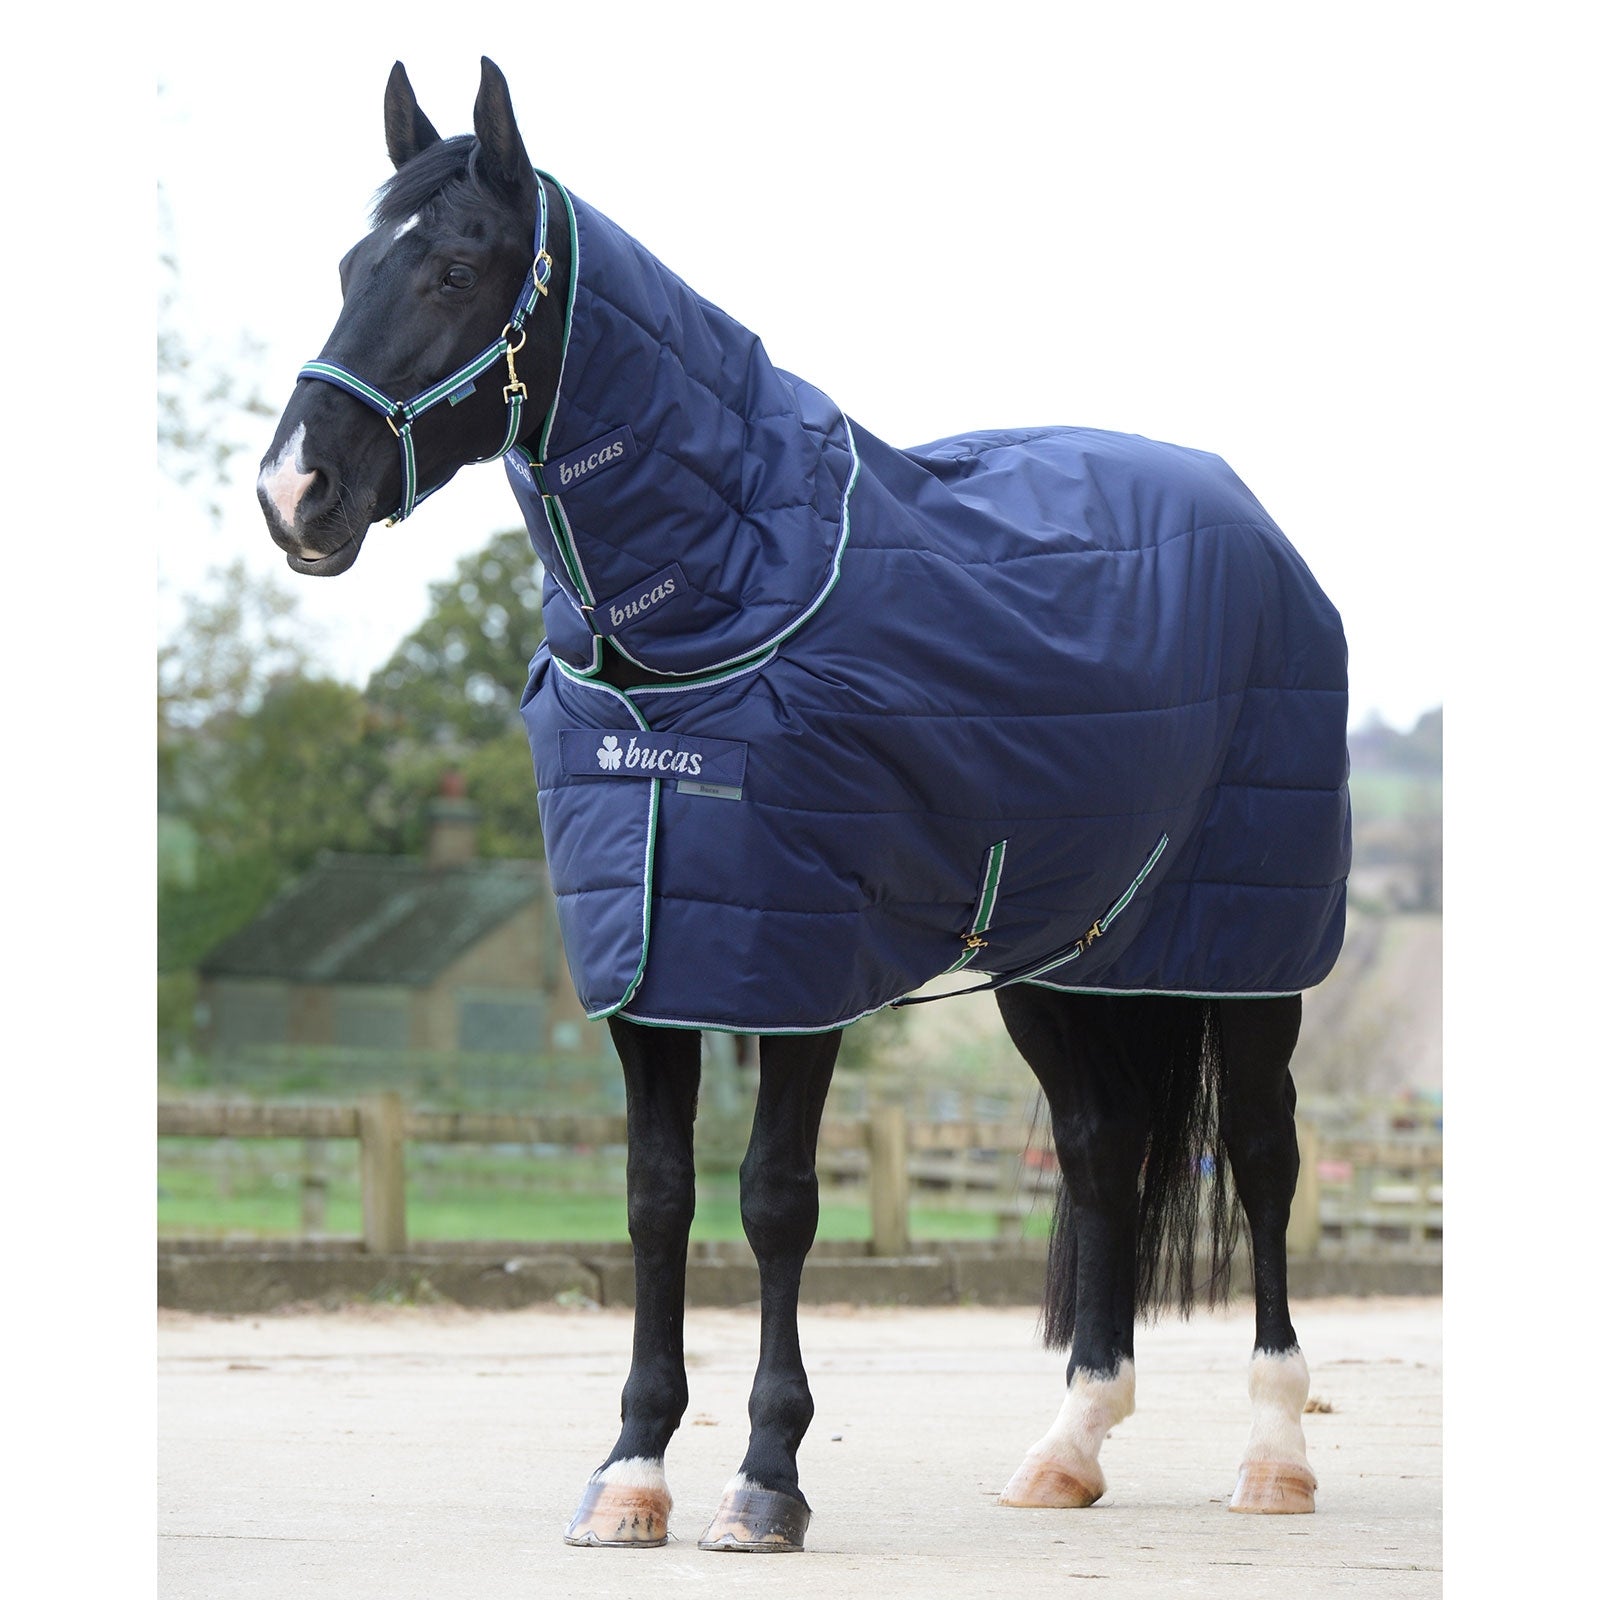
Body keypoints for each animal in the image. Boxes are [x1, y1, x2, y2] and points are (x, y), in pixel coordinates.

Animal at [257, 57, 1349, 1552]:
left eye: (457, 270)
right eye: (348, 265)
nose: (294, 493)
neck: (716, 613)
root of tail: (1263, 533)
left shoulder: (797, 964)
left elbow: (774, 1203)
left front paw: (766, 1477)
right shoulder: (652, 955)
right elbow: (656, 1202)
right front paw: (631, 1471)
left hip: (1249, 954)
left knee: (1260, 1153)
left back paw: (1274, 1456)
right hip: (1062, 963)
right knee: (1101, 1148)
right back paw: (1067, 1445)